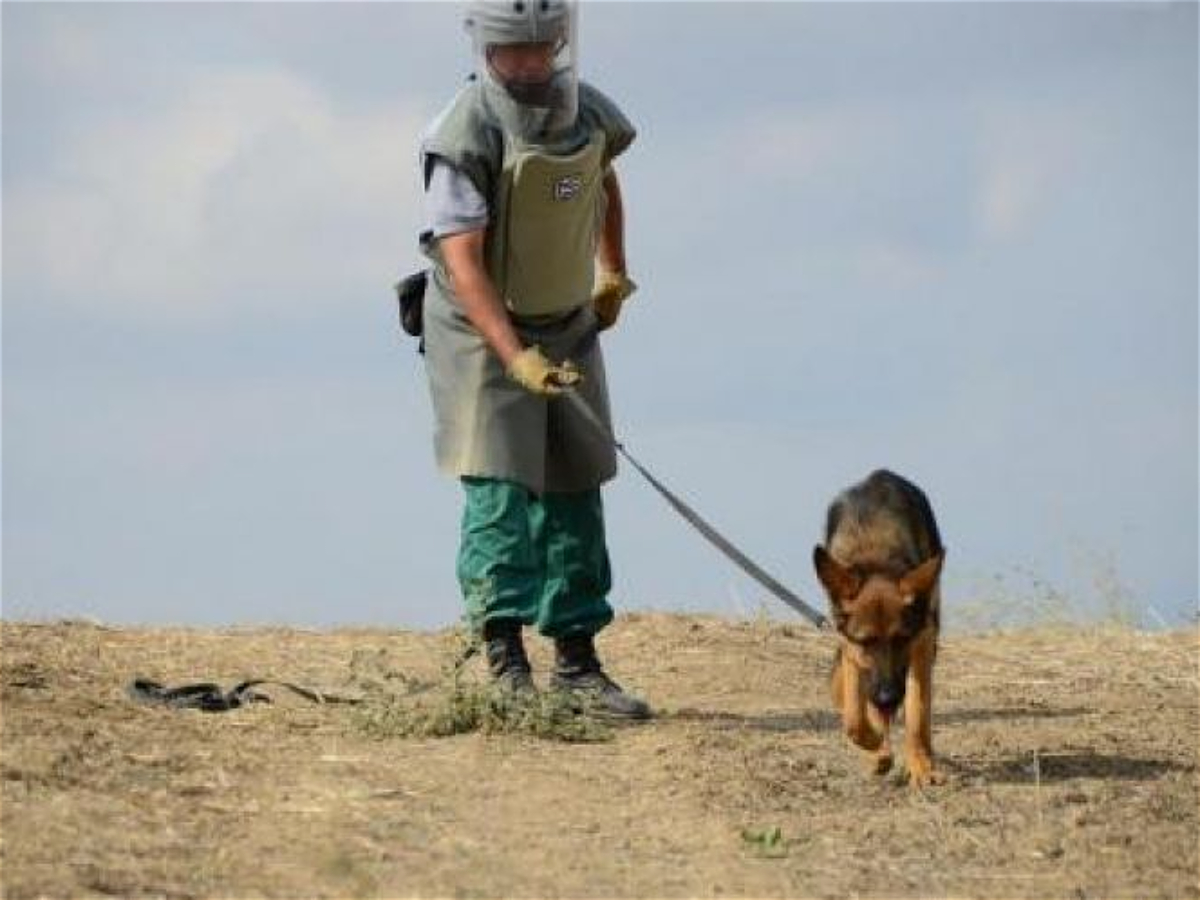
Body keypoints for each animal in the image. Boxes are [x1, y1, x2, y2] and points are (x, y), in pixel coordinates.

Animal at [816, 472, 945, 787]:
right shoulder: (852, 650)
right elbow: (853, 716)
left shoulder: (921, 642)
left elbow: (916, 711)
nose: (888, 697)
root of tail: (881, 473)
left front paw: (920, 766)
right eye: (865, 641)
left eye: (902, 639)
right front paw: (874, 743)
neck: (874, 557)